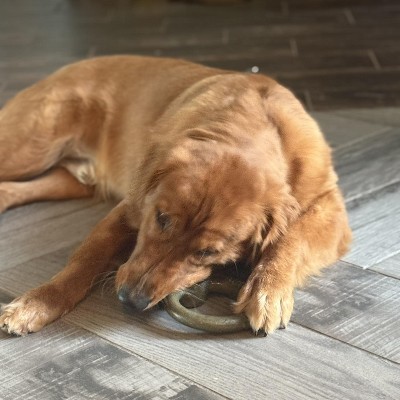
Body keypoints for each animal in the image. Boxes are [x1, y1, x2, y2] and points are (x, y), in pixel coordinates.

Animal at [0, 56, 351, 336]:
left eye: (208, 252)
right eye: (161, 219)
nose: (131, 299)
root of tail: (63, 70)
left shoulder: (330, 207)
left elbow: (292, 237)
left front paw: (268, 290)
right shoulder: (132, 207)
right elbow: (87, 257)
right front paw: (38, 302)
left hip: (67, 178)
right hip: (31, 146)